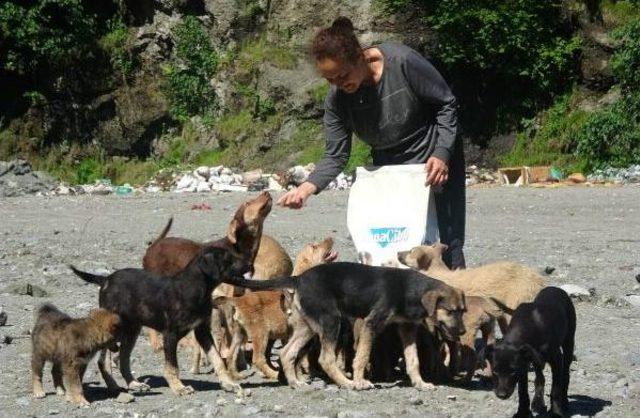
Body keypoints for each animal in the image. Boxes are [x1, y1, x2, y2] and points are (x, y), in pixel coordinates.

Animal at [70, 247, 250, 396]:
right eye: (229, 259)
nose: (250, 263)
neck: (195, 289)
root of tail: (106, 279)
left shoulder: (202, 331)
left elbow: (217, 359)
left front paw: (228, 384)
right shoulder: (170, 334)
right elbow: (172, 366)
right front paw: (178, 387)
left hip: (132, 330)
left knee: (123, 358)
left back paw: (134, 384)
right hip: (115, 328)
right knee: (103, 360)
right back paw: (113, 386)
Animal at [212, 238, 338, 378]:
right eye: (314, 247)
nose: (331, 238)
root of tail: (238, 300)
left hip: (241, 333)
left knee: (232, 354)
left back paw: (238, 375)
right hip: (260, 334)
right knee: (258, 358)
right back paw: (272, 374)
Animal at [220, 262, 464, 390]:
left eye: (463, 311)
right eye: (450, 311)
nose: (461, 331)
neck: (409, 290)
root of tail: (298, 279)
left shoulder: (408, 329)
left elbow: (413, 360)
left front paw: (420, 383)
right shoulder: (371, 324)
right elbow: (362, 356)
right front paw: (360, 380)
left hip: (307, 327)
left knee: (287, 353)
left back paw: (296, 382)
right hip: (331, 320)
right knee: (325, 359)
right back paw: (346, 383)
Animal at [484, 288, 576, 418]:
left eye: (512, 371)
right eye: (495, 371)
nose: (501, 395)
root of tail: (555, 288)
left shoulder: (556, 359)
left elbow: (556, 389)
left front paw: (557, 412)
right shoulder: (523, 364)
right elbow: (522, 392)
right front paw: (522, 412)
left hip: (568, 342)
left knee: (566, 374)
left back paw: (565, 402)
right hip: (537, 360)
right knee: (540, 378)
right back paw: (538, 402)